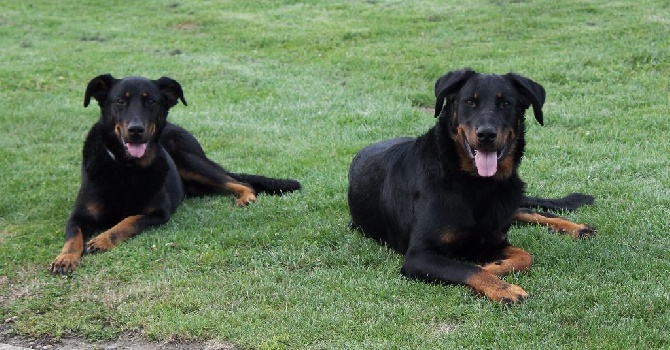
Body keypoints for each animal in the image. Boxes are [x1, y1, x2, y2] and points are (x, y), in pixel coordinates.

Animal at [47, 75, 300, 274]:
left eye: (151, 101)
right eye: (120, 101)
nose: (136, 130)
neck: (126, 167)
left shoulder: (159, 213)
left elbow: (128, 221)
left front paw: (102, 239)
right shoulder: (78, 217)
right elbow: (73, 237)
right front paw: (65, 258)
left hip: (190, 161)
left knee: (240, 182)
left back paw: (246, 197)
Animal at [350, 68, 596, 304]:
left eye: (506, 103)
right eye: (469, 102)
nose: (486, 134)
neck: (476, 185)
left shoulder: (492, 239)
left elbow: (526, 256)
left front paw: (495, 267)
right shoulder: (420, 255)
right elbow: (469, 268)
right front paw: (503, 287)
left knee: (525, 209)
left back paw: (576, 227)